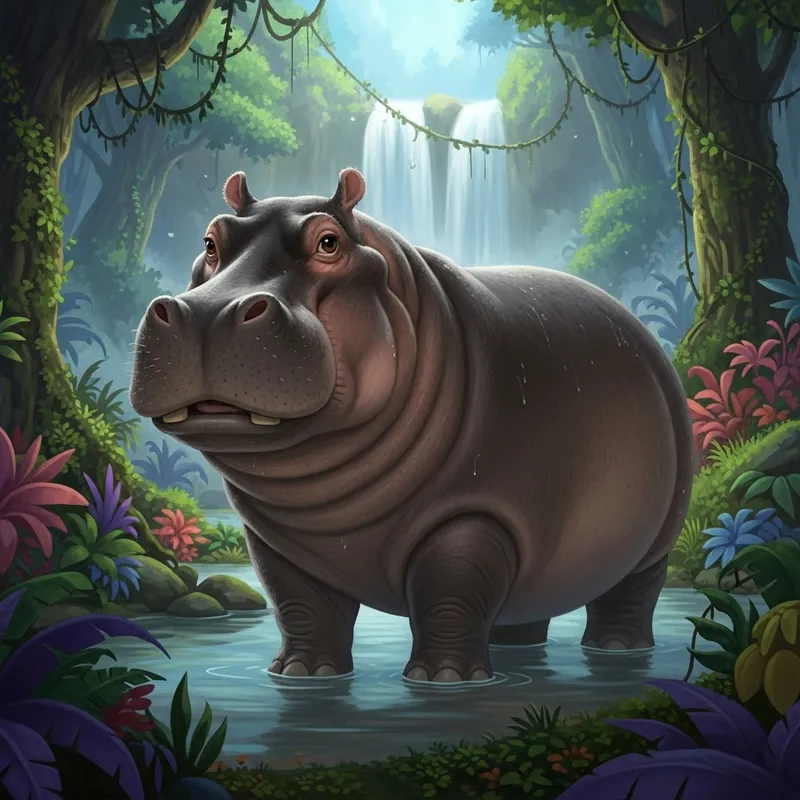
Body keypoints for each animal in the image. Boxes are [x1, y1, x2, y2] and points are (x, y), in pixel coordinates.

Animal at [130, 168, 693, 683]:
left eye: (329, 242)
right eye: (211, 240)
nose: (207, 313)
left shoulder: (475, 514)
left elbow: (450, 593)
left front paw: (443, 680)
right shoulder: (275, 539)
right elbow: (300, 604)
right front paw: (301, 674)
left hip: (658, 534)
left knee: (633, 590)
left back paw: (616, 649)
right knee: (527, 602)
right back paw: (516, 646)